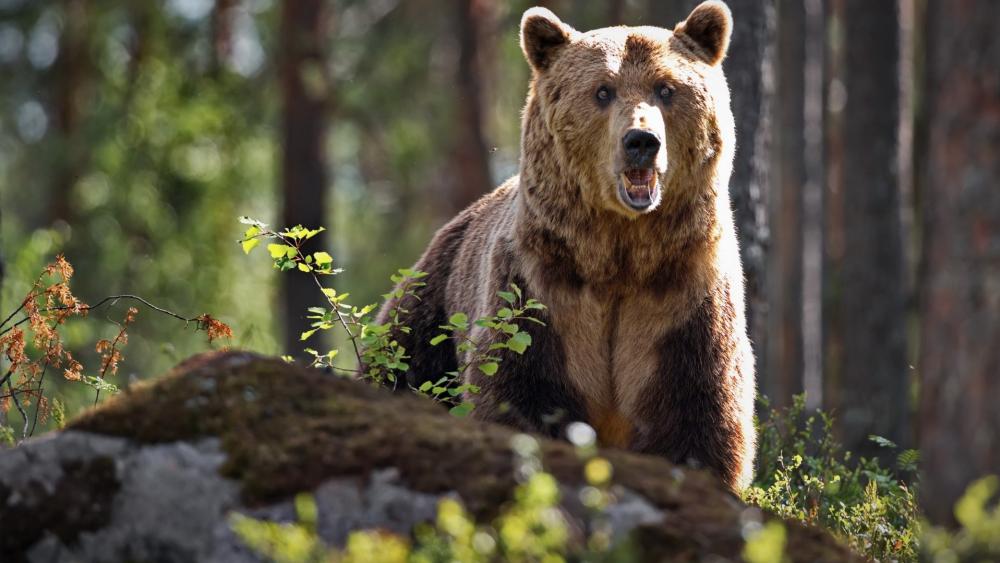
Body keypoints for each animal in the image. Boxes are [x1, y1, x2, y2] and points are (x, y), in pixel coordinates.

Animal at [374, 1, 756, 490]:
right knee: (404, 367)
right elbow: (521, 394)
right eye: (603, 90)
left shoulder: (680, 302)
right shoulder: (543, 292)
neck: (619, 253)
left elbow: (693, 417)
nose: (641, 141)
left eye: (666, 88)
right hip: (431, 308)